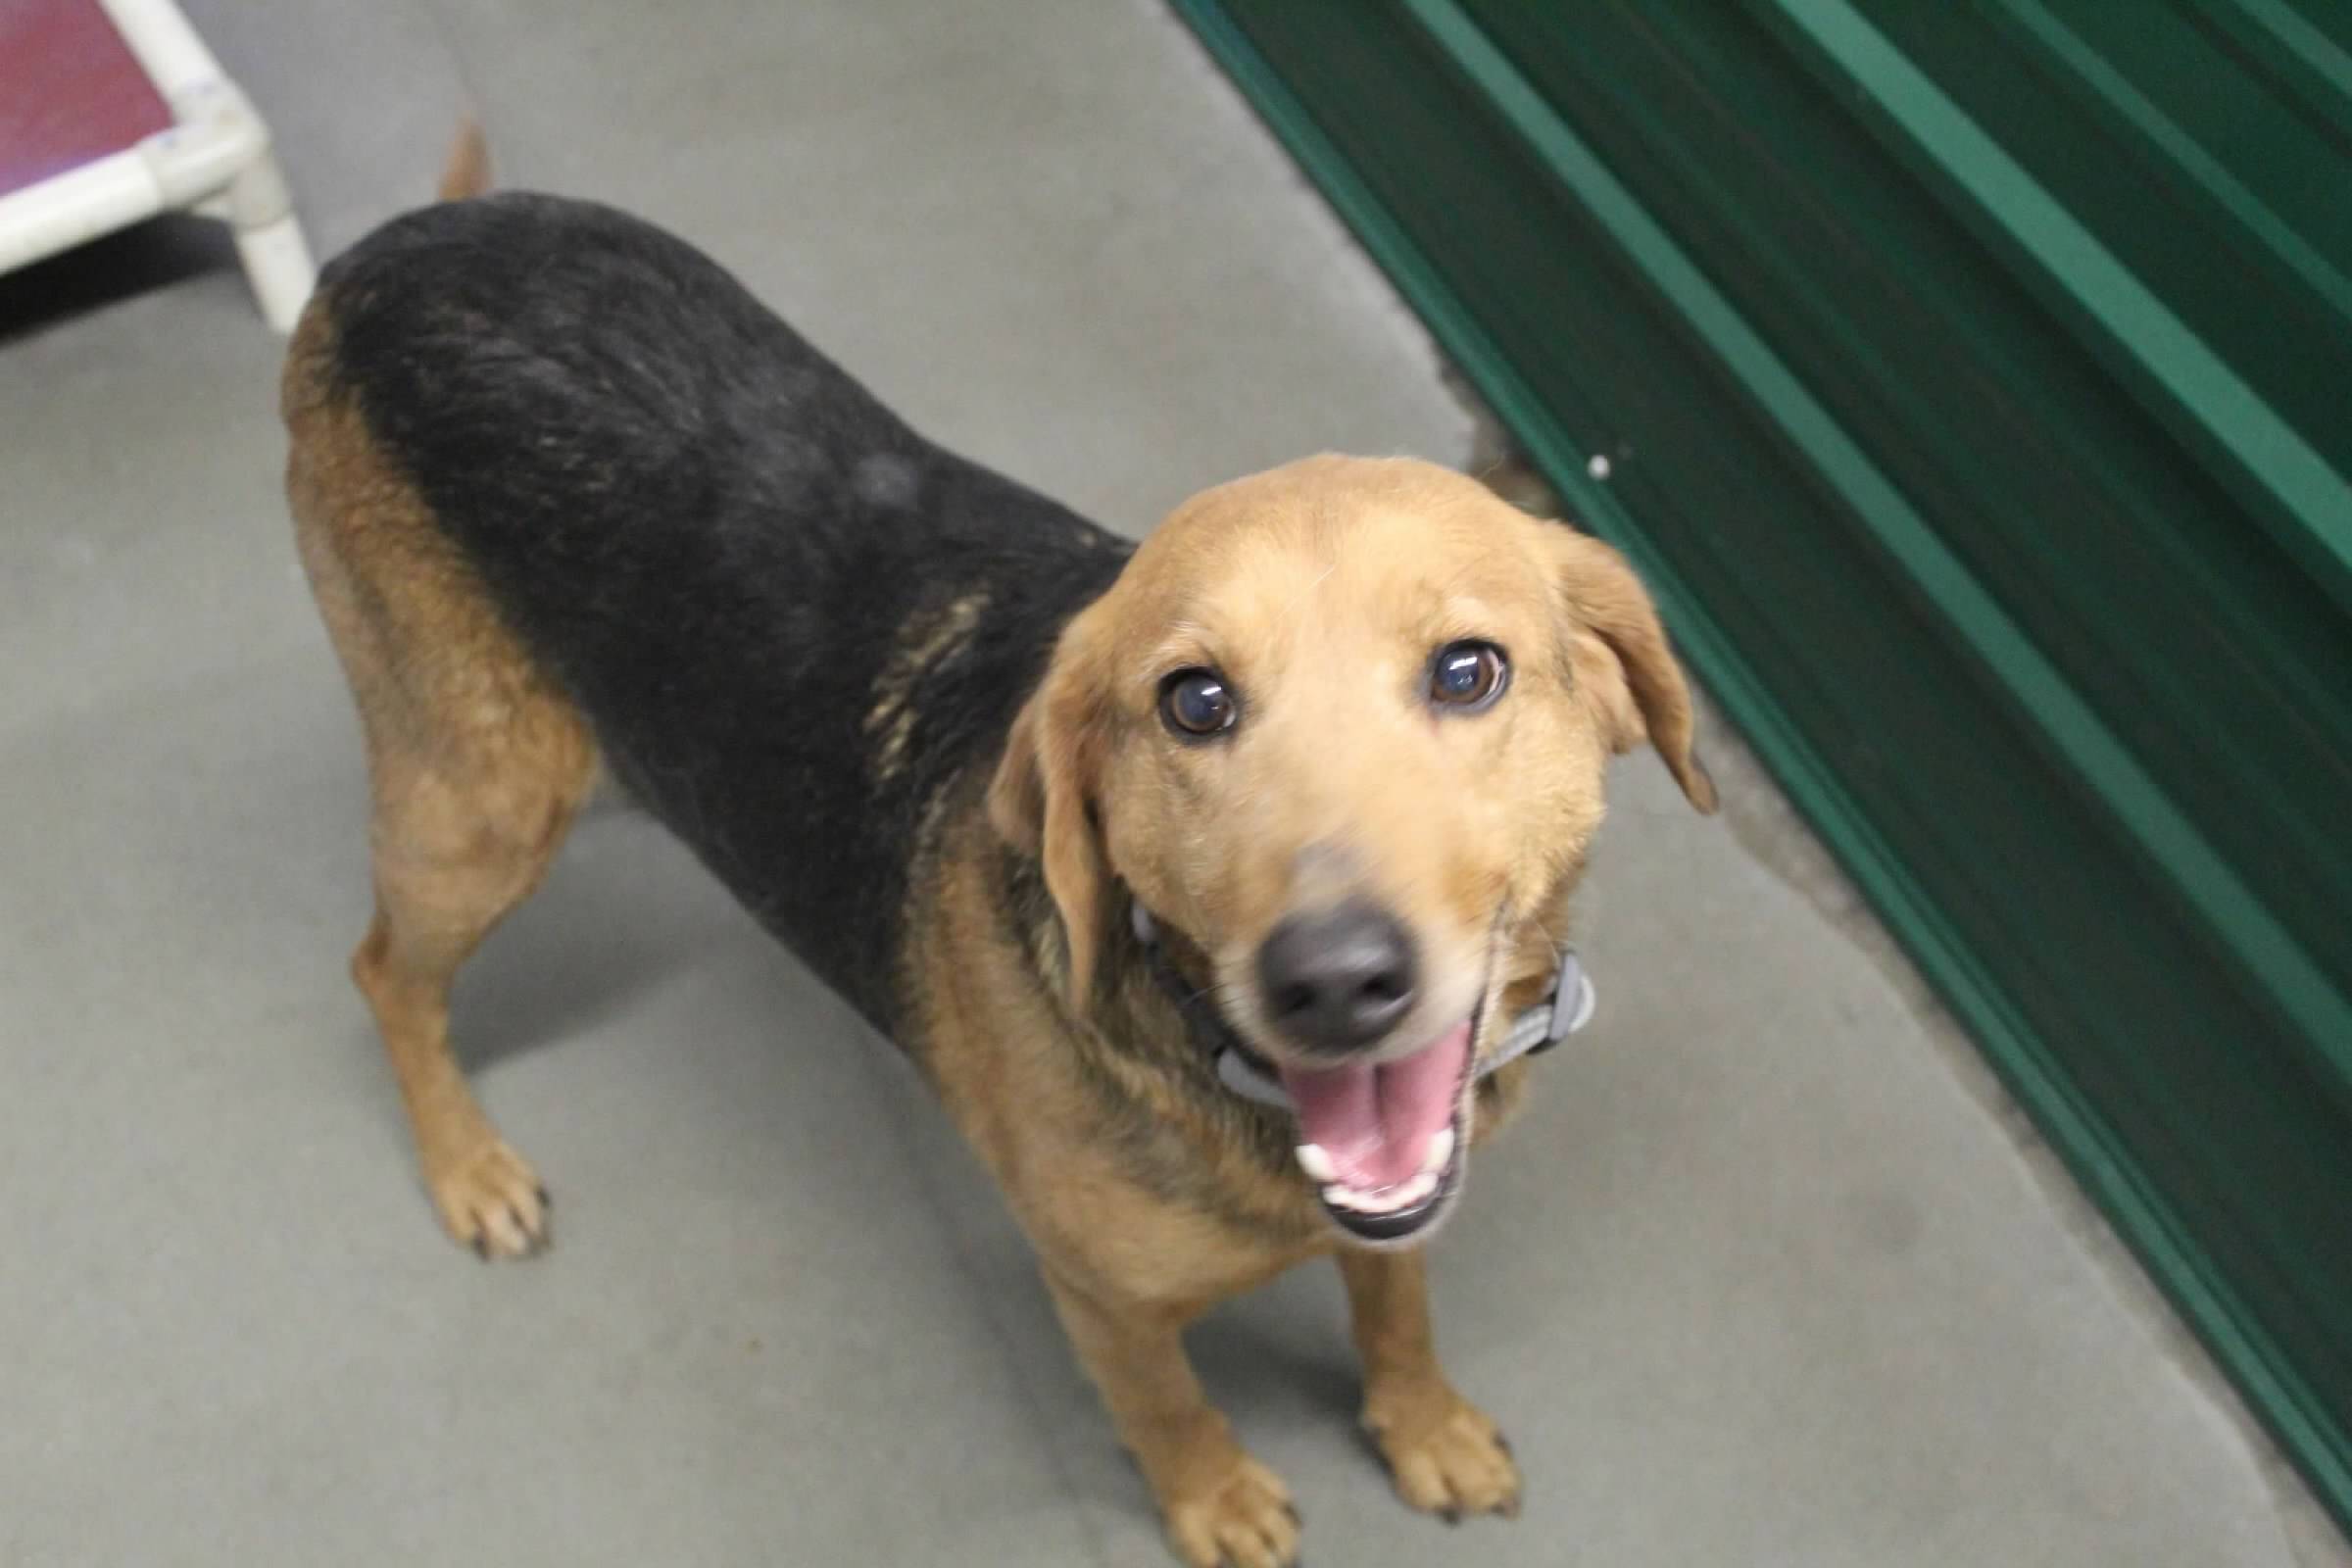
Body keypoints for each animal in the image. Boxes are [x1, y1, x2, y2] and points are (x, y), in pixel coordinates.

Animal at [284, 134, 1721, 1568]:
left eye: (1470, 672)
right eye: (1195, 702)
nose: (1333, 980)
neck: (1207, 1056)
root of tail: (391, 246)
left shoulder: (1397, 1193)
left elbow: (1398, 1301)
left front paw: (1423, 1424)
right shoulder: (1102, 1298)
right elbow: (1172, 1411)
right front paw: (1216, 1500)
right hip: (480, 806)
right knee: (382, 975)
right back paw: (467, 1168)